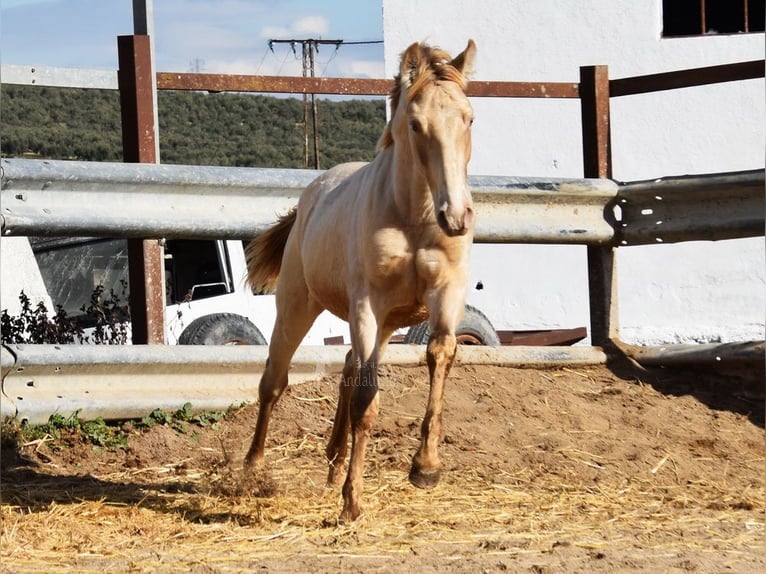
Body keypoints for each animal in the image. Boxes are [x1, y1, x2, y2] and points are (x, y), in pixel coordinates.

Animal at [243, 39, 476, 528]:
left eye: (469, 118)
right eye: (415, 123)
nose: (457, 216)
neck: (414, 218)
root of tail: (308, 201)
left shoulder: (445, 294)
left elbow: (440, 353)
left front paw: (425, 468)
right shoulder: (368, 304)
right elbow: (368, 398)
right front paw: (353, 501)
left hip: (382, 324)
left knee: (349, 367)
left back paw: (334, 460)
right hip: (298, 305)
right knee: (275, 380)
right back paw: (252, 468)